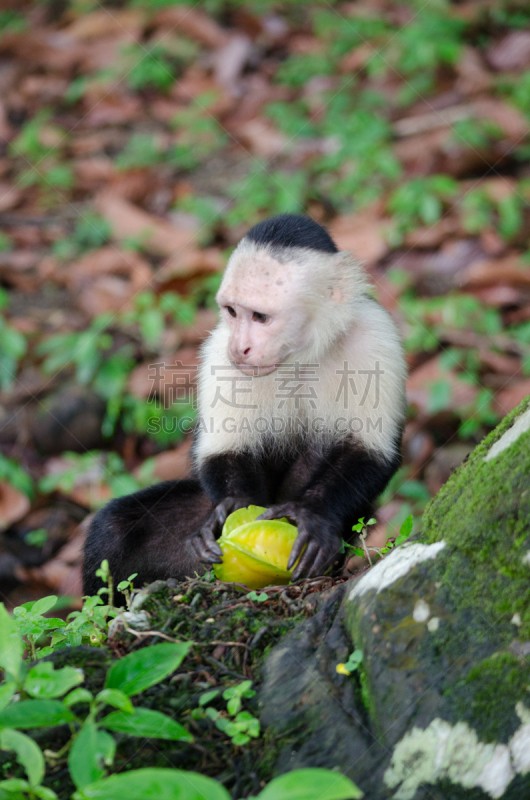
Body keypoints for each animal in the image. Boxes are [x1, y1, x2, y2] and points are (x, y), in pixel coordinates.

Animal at [81, 216, 404, 596]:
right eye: (233, 312)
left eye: (261, 317)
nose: (241, 347)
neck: (298, 357)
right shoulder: (218, 350)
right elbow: (225, 450)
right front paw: (232, 508)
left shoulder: (375, 336)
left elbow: (368, 451)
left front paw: (312, 516)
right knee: (112, 528)